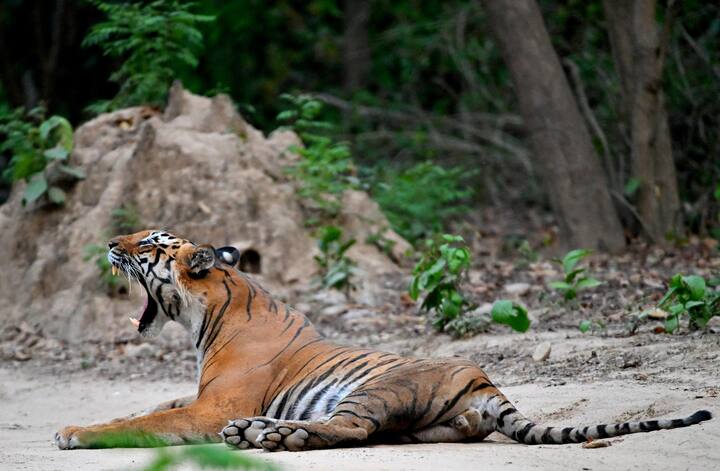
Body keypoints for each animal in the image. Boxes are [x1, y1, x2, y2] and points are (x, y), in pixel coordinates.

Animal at [53, 230, 712, 452]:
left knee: (349, 429)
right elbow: (153, 406)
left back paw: (266, 436)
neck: (208, 313)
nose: (110, 241)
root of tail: (485, 381)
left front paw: (74, 432)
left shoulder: (214, 406)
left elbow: (140, 423)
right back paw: (263, 433)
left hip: (374, 389)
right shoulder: (200, 396)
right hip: (427, 420)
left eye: (147, 244)